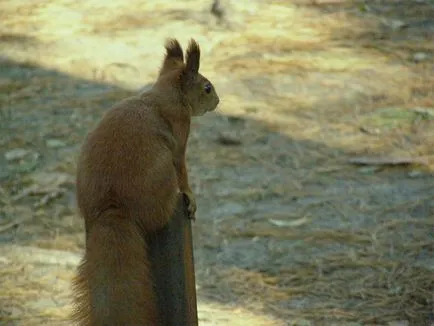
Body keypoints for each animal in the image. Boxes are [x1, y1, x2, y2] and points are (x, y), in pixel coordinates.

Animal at [72, 38, 220, 326]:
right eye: (206, 88)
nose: (218, 101)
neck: (165, 94)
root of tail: (112, 206)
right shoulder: (180, 135)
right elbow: (183, 169)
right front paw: (191, 197)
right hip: (161, 176)